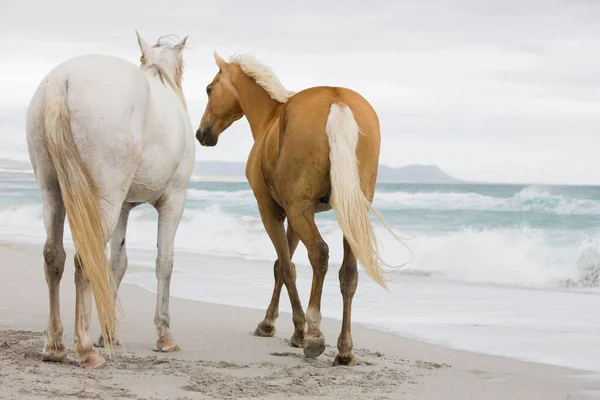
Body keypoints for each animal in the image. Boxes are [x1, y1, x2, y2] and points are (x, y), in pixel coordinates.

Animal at [25, 31, 195, 368]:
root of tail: (61, 79)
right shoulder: (173, 202)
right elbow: (164, 263)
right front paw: (164, 337)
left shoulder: (125, 208)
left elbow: (118, 263)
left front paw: (109, 333)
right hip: (104, 200)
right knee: (84, 261)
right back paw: (85, 351)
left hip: (53, 193)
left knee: (54, 256)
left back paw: (55, 346)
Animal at [197, 53, 394, 366]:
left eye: (208, 89)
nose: (202, 133)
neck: (272, 118)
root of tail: (337, 100)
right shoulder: (295, 216)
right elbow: (281, 265)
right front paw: (272, 323)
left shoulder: (274, 212)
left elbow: (286, 267)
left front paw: (294, 329)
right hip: (348, 213)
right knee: (348, 272)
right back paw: (345, 349)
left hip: (301, 210)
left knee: (320, 254)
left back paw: (314, 334)